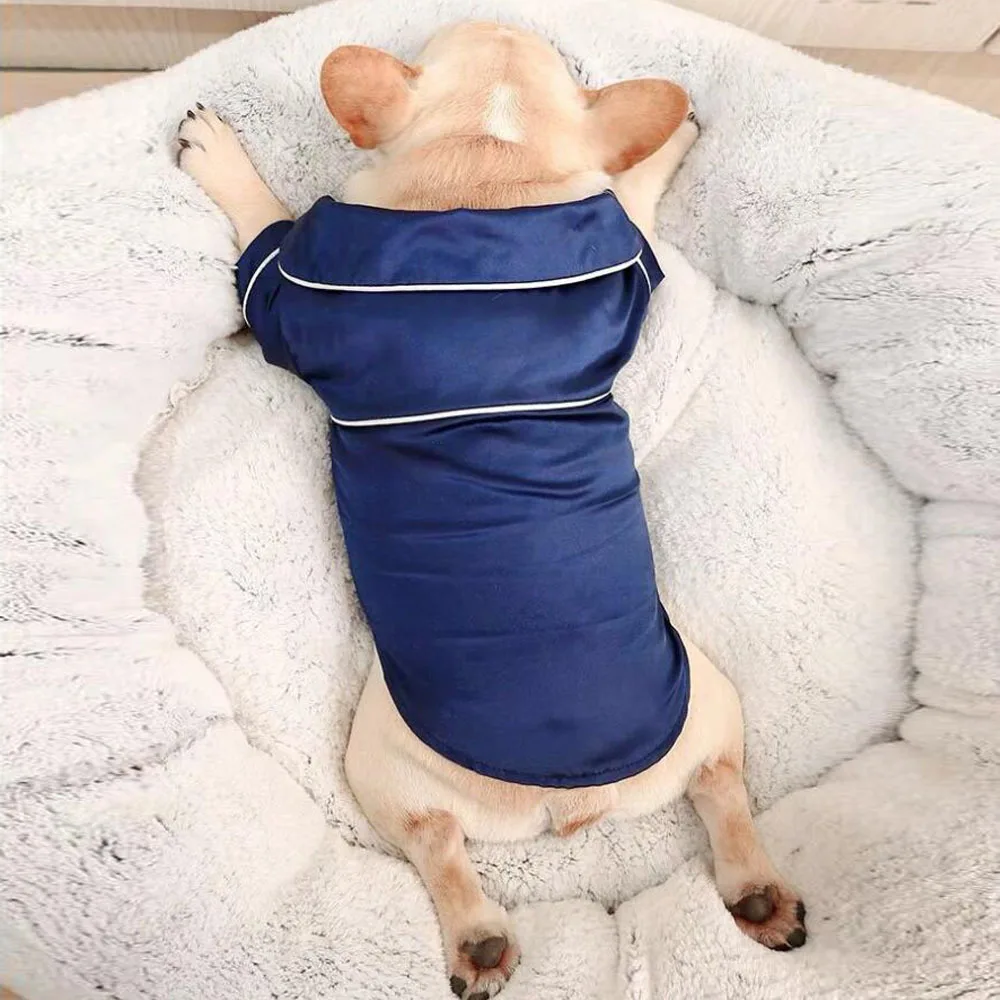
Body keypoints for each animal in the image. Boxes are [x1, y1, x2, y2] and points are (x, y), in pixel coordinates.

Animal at [178, 21, 807, 999]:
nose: (502, 21)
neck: (488, 165)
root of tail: (569, 804)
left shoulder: (291, 294)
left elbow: (263, 233)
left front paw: (222, 158)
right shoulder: (620, 241)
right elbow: (630, 195)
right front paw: (668, 141)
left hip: (379, 760)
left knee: (437, 844)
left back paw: (477, 934)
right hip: (709, 698)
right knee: (720, 784)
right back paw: (755, 890)